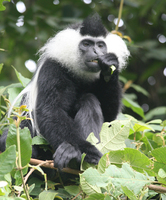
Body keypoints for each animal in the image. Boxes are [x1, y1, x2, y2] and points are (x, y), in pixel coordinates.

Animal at [0, 14, 130, 170]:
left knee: (89, 101)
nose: (96, 52)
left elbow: (109, 117)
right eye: (86, 44)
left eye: (100, 45)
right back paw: (72, 154)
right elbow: (50, 111)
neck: (80, 75)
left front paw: (110, 66)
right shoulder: (52, 69)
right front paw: (88, 152)